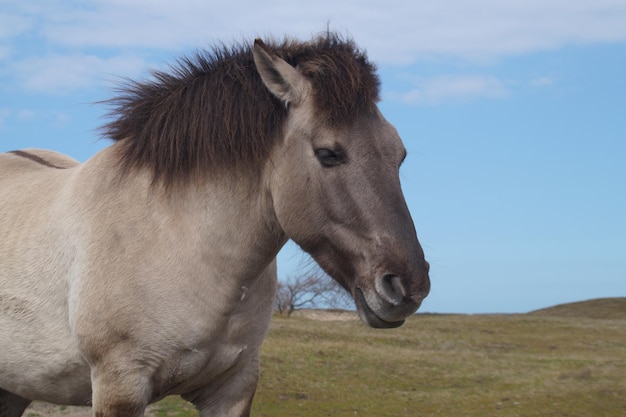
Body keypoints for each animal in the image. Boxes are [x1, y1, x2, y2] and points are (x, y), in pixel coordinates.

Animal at [0, 33, 428, 416]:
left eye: (400, 155)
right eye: (328, 153)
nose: (408, 286)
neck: (180, 243)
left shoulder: (234, 387)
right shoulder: (120, 387)